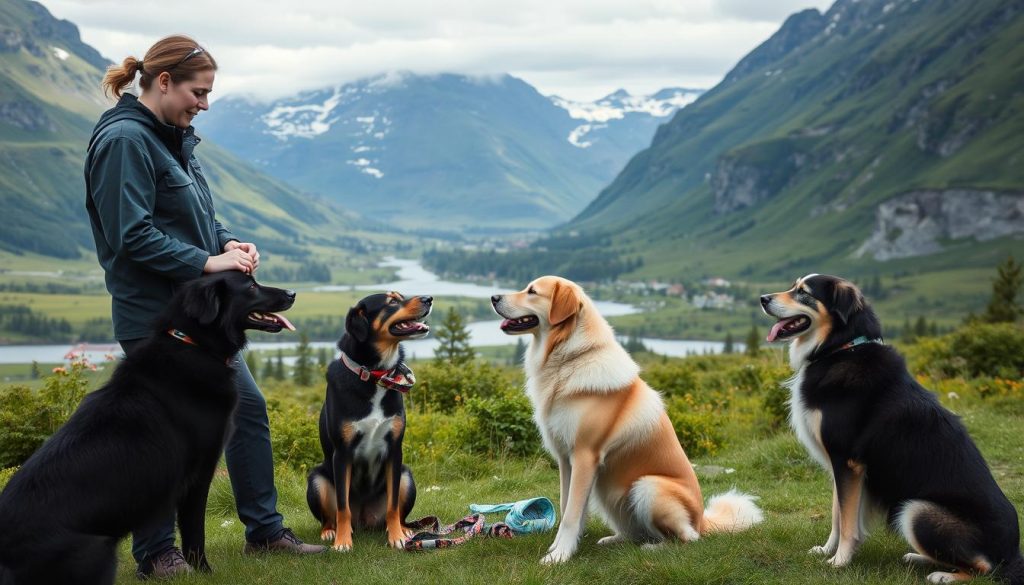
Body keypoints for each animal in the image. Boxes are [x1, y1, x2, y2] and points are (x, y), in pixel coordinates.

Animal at [0, 274, 296, 585]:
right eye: (250, 286)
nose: (293, 293)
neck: (194, 345)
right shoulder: (198, 473)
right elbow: (194, 533)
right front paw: (203, 571)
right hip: (99, 549)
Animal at [305, 290, 430, 553]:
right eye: (391, 301)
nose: (429, 299)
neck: (375, 375)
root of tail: (364, 519)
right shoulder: (342, 453)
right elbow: (342, 507)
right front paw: (343, 542)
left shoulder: (394, 451)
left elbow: (393, 505)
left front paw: (396, 537)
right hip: (317, 480)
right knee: (331, 516)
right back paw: (330, 532)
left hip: (407, 477)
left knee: (398, 512)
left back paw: (404, 529)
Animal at [487, 276, 761, 565]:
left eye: (532, 291)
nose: (493, 297)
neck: (568, 357)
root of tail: (702, 521)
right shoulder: (566, 460)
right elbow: (567, 508)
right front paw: (561, 548)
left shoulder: (585, 456)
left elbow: (571, 514)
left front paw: (559, 556)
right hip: (608, 492)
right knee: (636, 532)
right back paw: (614, 540)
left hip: (648, 486)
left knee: (686, 538)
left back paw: (655, 548)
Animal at [761, 276, 1024, 585]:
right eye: (794, 286)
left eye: (803, 292)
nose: (763, 299)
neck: (841, 348)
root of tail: (1012, 554)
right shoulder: (842, 466)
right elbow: (837, 514)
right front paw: (827, 550)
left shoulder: (847, 461)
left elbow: (847, 520)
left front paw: (839, 561)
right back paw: (918, 557)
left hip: (916, 510)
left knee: (984, 568)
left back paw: (943, 575)